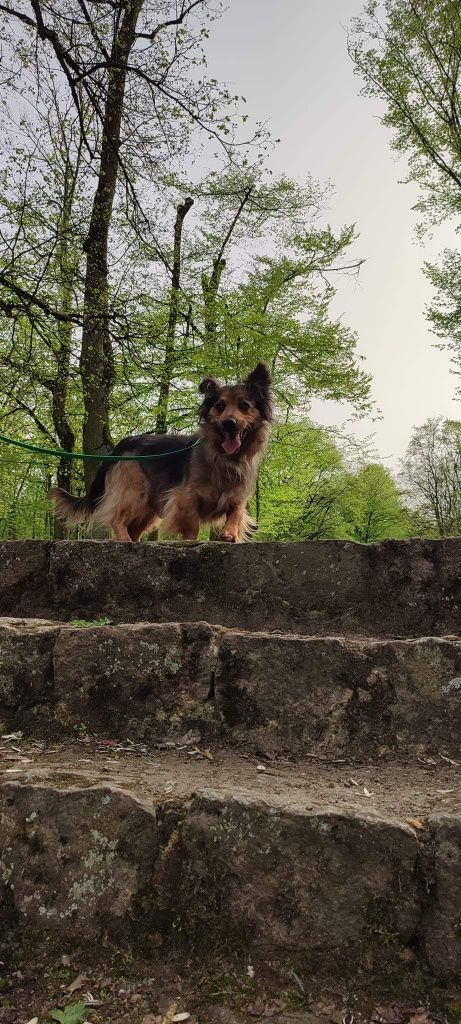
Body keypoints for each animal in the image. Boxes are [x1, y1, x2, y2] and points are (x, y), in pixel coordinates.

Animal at [49, 364, 274, 548]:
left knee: (134, 527)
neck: (223, 457)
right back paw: (124, 540)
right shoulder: (185, 497)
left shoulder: (238, 495)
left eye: (244, 406)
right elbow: (192, 525)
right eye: (220, 406)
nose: (229, 423)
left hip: (149, 508)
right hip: (135, 493)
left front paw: (229, 534)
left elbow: (236, 513)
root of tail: (125, 442)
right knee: (118, 519)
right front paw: (191, 542)